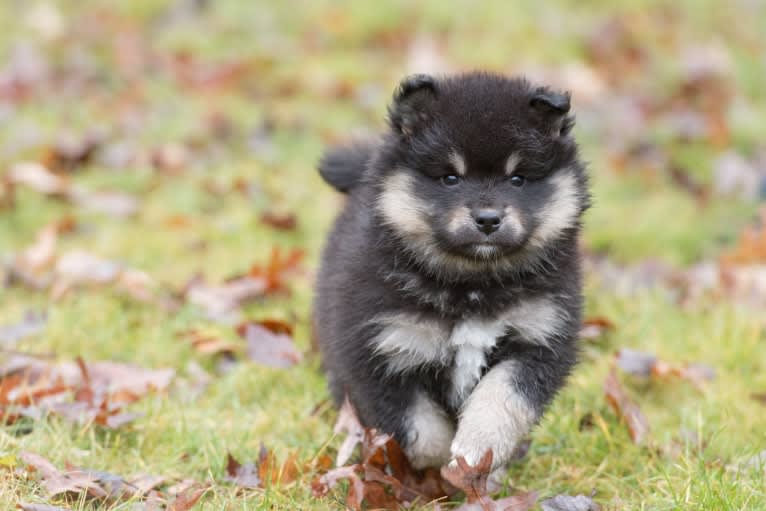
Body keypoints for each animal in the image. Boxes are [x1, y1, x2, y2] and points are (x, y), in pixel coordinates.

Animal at [316, 70, 592, 478]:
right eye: (450, 178)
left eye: (518, 179)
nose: (488, 219)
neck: (472, 284)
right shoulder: (381, 349)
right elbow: (420, 427)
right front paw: (436, 470)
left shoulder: (539, 338)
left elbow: (502, 396)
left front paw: (477, 450)